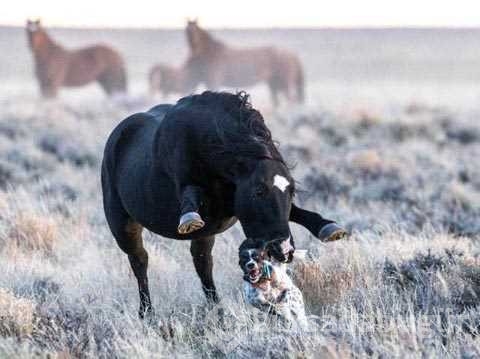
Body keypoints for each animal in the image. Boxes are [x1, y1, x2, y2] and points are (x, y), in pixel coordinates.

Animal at [103, 91, 346, 320]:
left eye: (292, 190)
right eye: (259, 191)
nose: (285, 249)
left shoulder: (232, 205)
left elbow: (298, 212)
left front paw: (329, 228)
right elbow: (190, 195)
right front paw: (189, 218)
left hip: (204, 237)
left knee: (202, 263)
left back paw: (216, 309)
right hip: (123, 225)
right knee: (140, 261)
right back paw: (147, 313)